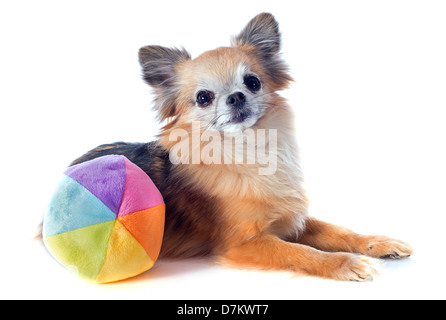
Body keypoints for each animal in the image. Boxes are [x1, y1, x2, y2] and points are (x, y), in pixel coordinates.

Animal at [64, 13, 412, 280]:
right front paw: (345, 263)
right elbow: (299, 252)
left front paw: (378, 243)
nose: (236, 96)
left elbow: (338, 231)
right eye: (204, 97)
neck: (248, 149)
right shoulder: (244, 242)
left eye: (252, 82)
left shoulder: (289, 218)